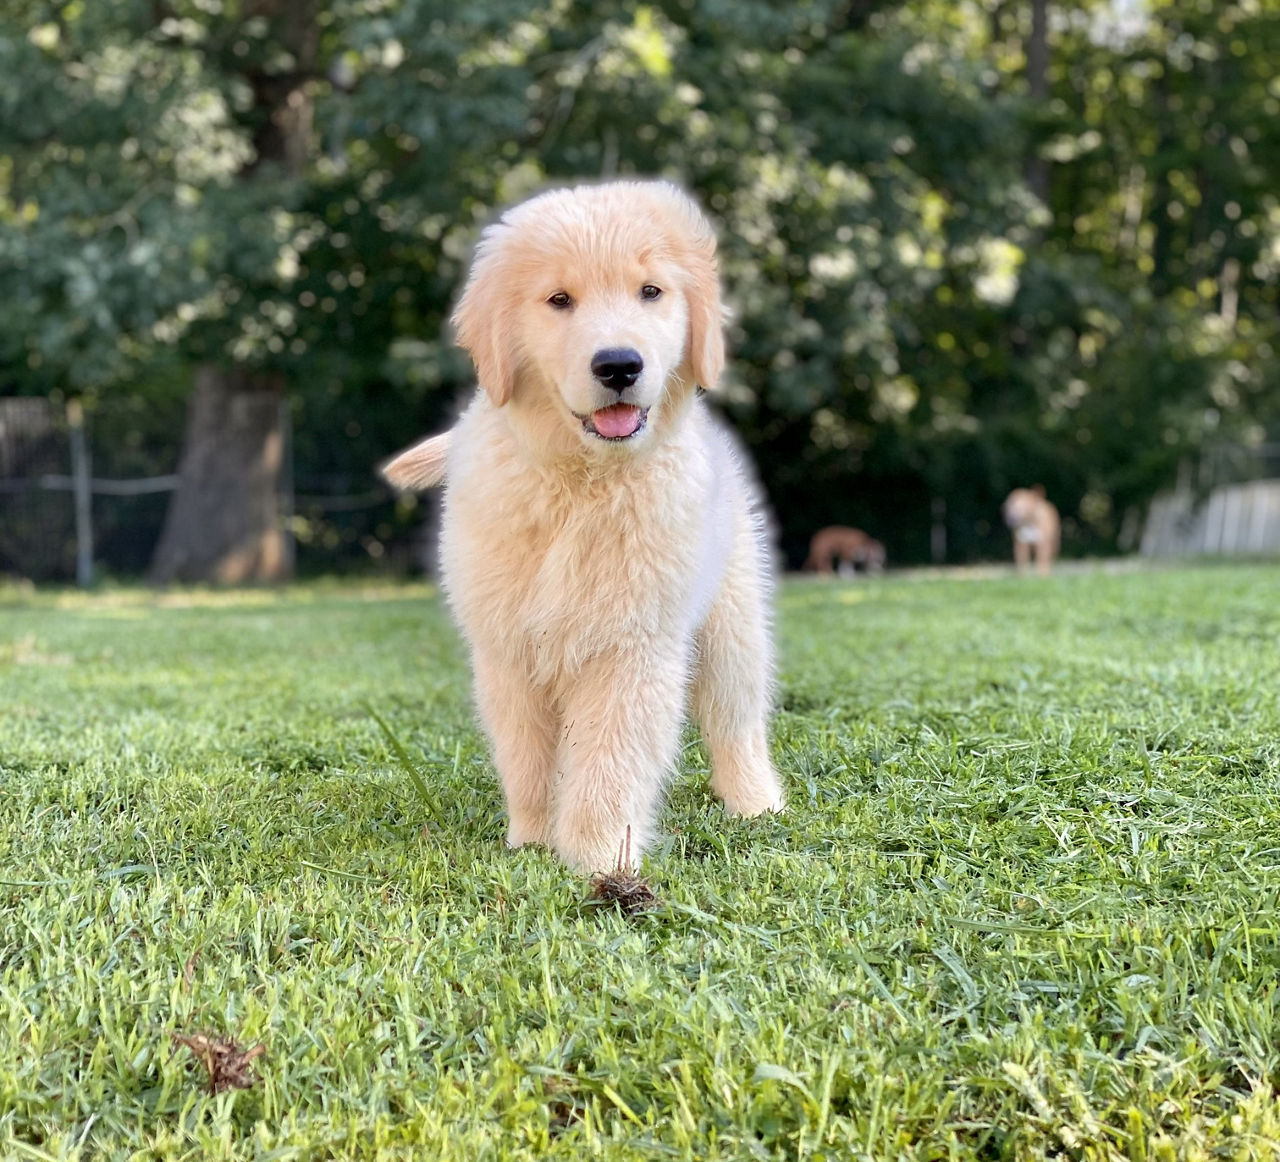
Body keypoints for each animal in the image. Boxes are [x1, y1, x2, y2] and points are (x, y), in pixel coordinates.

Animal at [378, 181, 778, 870]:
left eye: (651, 291)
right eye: (559, 300)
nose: (618, 365)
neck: (581, 482)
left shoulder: (632, 645)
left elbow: (608, 762)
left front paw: (597, 859)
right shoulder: (509, 648)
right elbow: (528, 758)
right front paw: (534, 841)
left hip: (731, 622)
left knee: (736, 719)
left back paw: (755, 802)